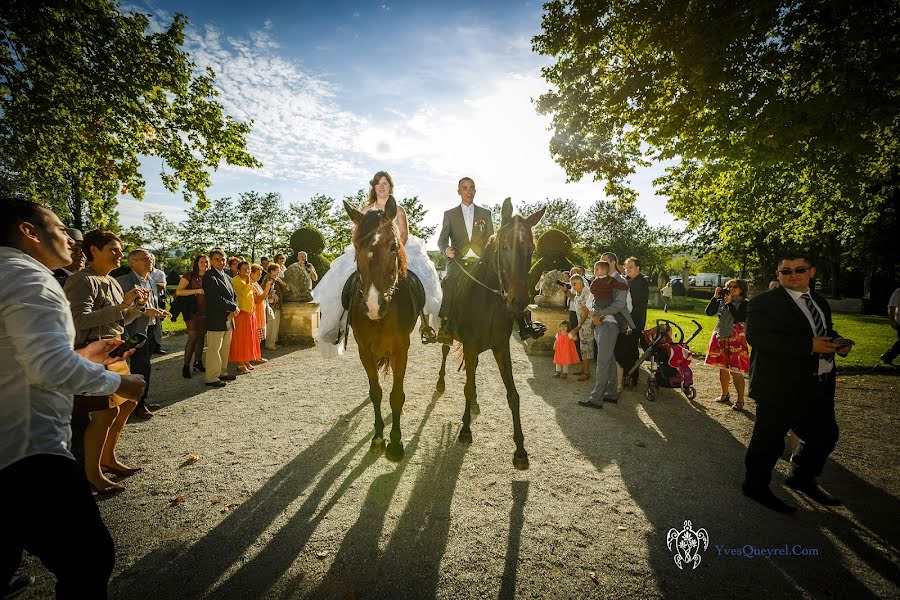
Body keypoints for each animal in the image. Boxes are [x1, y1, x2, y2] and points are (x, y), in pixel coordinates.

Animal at [342, 199, 420, 462]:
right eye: (356, 246)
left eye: (394, 246)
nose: (374, 305)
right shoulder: (364, 351)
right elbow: (375, 392)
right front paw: (378, 437)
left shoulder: (401, 350)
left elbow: (396, 395)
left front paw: (395, 443)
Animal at [434, 197, 540, 468]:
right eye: (503, 246)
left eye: (532, 249)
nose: (518, 301)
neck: (490, 303)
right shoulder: (471, 346)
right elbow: (467, 385)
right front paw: (465, 431)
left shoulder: (501, 348)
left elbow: (513, 395)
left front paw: (520, 450)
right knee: (445, 352)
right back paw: (441, 382)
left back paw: (474, 403)